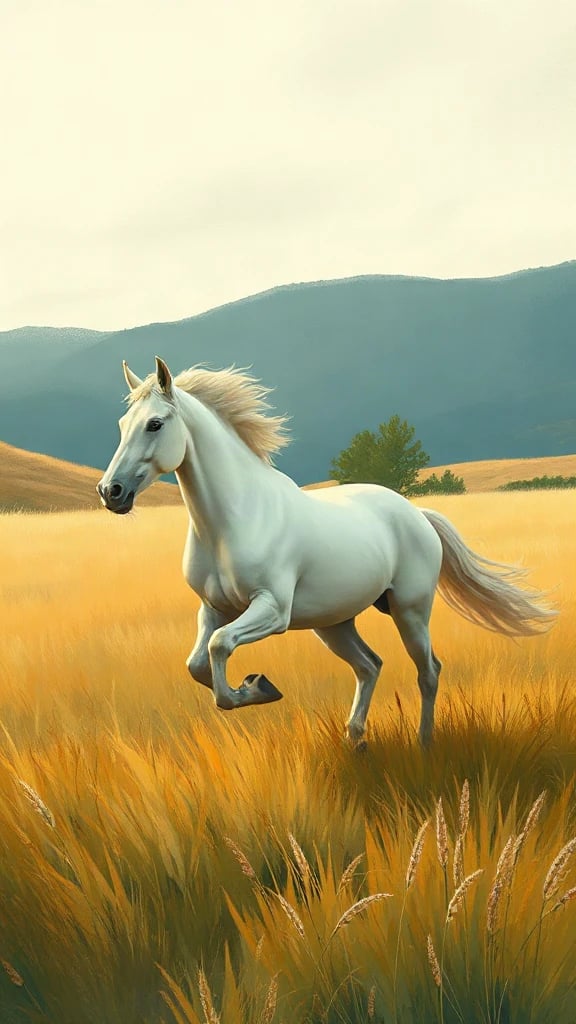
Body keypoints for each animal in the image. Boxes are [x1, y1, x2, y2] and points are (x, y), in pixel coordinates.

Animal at [97, 357, 556, 748]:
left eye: (155, 424)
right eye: (121, 423)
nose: (110, 492)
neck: (235, 520)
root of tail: (416, 514)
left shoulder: (272, 610)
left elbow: (219, 648)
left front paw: (255, 687)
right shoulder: (214, 608)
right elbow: (198, 664)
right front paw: (258, 687)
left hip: (409, 610)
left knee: (428, 671)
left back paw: (424, 744)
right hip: (334, 622)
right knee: (370, 665)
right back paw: (356, 740)